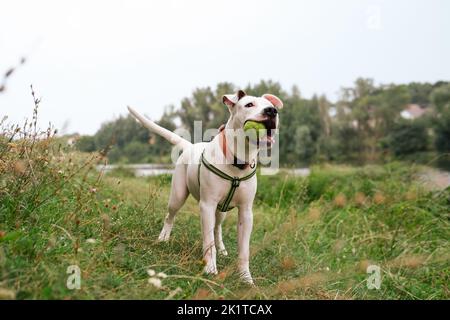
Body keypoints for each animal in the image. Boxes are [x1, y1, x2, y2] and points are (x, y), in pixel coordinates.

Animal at [127, 89, 282, 282]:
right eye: (249, 104)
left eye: (272, 106)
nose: (272, 111)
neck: (237, 161)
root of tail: (190, 146)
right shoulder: (207, 206)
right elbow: (208, 243)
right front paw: (210, 269)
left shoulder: (246, 212)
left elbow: (244, 250)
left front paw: (246, 278)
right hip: (178, 196)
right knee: (170, 216)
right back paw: (163, 238)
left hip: (222, 210)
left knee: (217, 227)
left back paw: (222, 249)